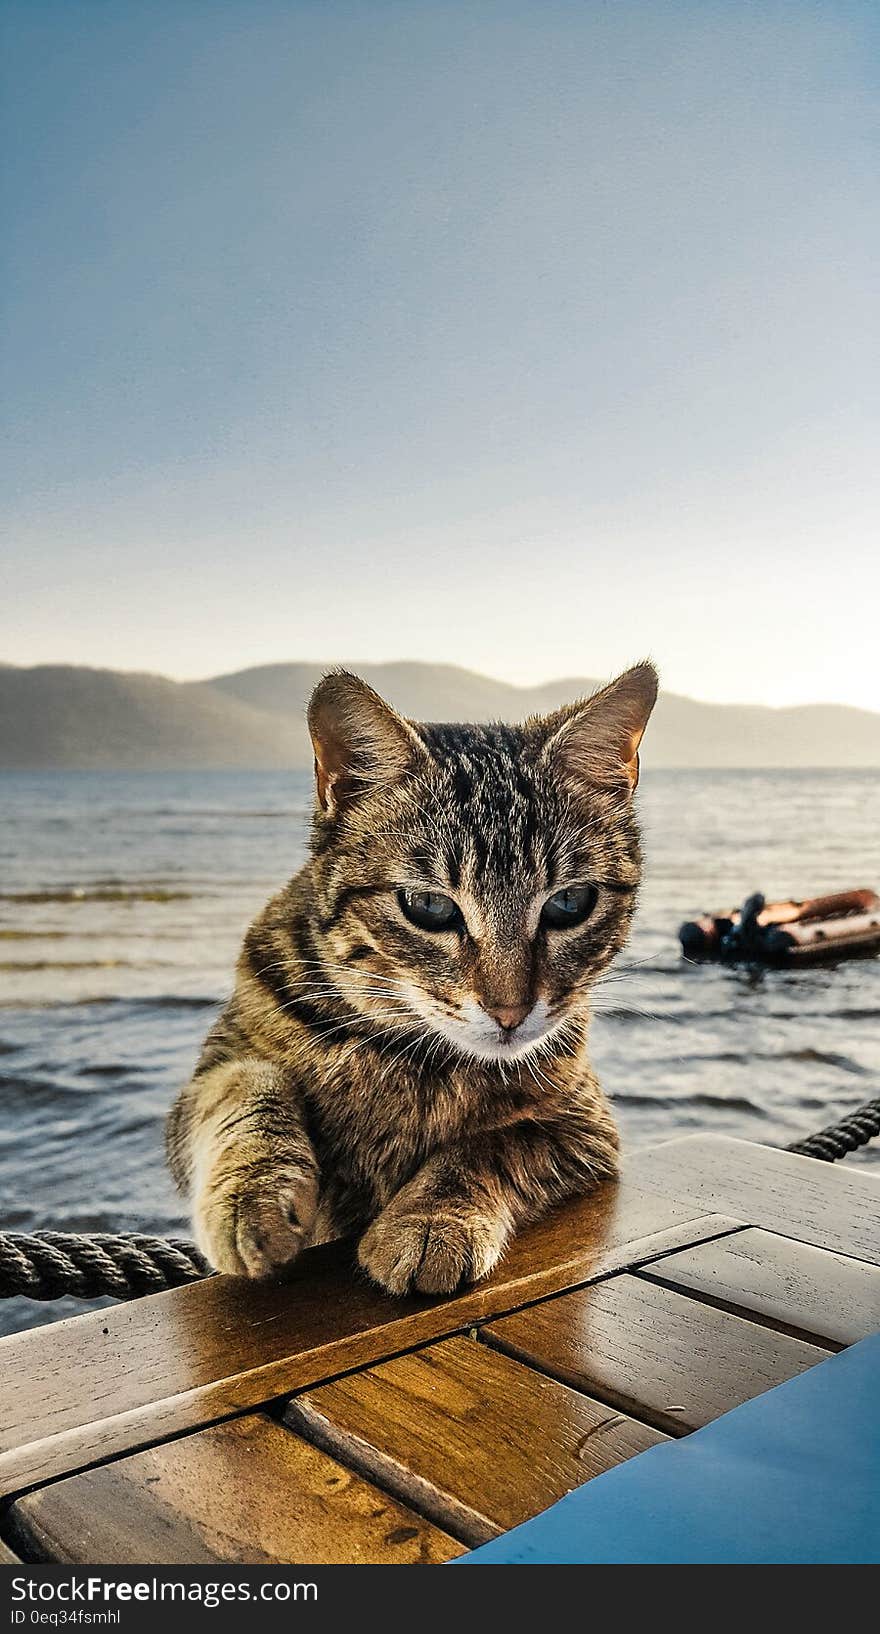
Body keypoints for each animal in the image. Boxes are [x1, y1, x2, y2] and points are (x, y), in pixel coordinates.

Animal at [168, 660, 656, 1287]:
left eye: (570, 903)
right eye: (429, 907)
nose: (510, 1012)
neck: (413, 1058)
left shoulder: (585, 1125)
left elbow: (488, 1146)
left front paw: (429, 1219)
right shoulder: (206, 1080)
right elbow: (243, 1088)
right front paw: (250, 1195)